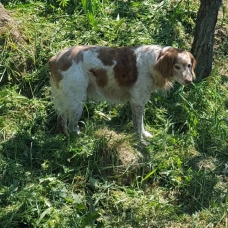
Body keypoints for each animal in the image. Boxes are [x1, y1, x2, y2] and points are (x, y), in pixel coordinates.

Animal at [50, 45, 196, 138]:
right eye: (177, 66)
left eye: (189, 66)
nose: (189, 80)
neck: (155, 61)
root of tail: (55, 59)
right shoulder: (137, 101)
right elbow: (139, 123)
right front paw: (141, 139)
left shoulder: (139, 101)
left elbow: (138, 123)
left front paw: (143, 135)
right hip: (77, 102)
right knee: (71, 125)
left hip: (68, 101)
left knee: (61, 120)